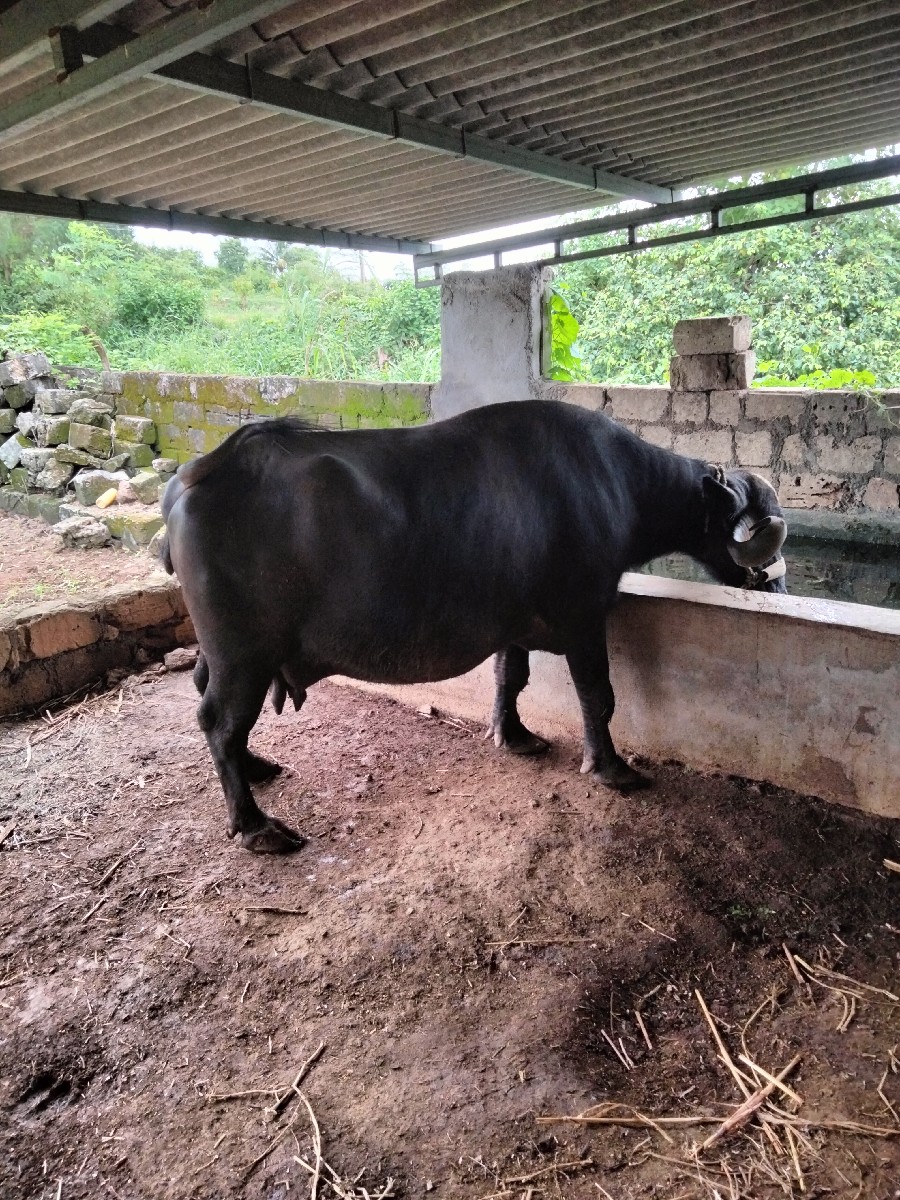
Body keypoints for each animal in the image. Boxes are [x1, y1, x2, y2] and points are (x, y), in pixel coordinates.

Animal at [161, 400, 787, 855]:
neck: (616, 484)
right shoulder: (585, 615)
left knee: (207, 698)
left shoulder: (513, 624)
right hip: (243, 656)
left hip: (222, 654)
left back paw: (257, 768)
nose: (775, 584)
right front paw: (611, 767)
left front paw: (514, 735)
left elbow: (511, 679)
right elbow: (598, 694)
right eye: (755, 527)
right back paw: (256, 826)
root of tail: (198, 474)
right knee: (219, 722)